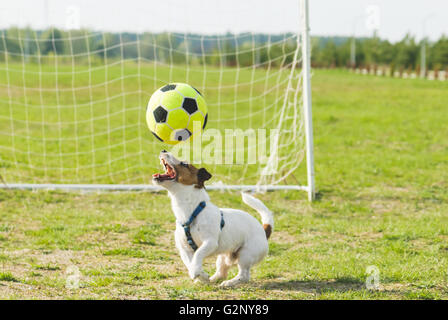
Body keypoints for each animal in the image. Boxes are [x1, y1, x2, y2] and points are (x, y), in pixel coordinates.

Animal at [153, 150, 272, 288]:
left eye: (184, 164)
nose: (164, 151)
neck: (192, 212)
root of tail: (264, 231)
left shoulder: (209, 242)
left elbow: (198, 254)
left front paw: (197, 273)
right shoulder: (184, 249)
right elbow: (190, 263)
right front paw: (201, 275)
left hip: (246, 254)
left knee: (244, 275)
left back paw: (229, 283)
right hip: (223, 258)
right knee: (222, 273)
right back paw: (212, 280)